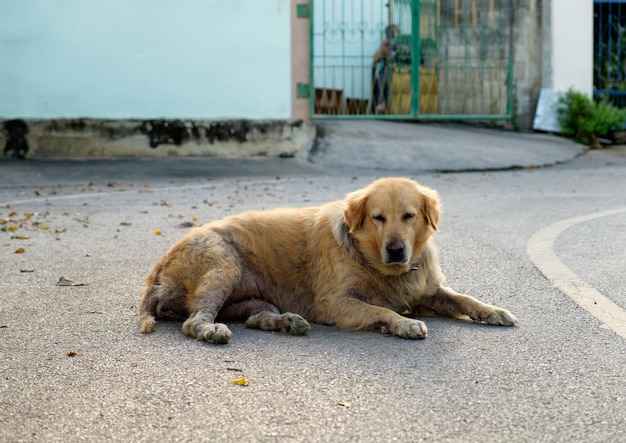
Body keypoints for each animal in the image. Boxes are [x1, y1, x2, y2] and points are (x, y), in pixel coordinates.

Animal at [140, 177, 516, 344]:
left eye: (409, 216)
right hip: (224, 264)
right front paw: (402, 323)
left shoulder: (426, 290)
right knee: (193, 322)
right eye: (378, 218)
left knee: (255, 317)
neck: (373, 261)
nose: (396, 249)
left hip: (253, 298)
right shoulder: (336, 304)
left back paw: (287, 322)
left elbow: (464, 298)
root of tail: (156, 270)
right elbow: (381, 310)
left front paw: (493, 311)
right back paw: (211, 330)